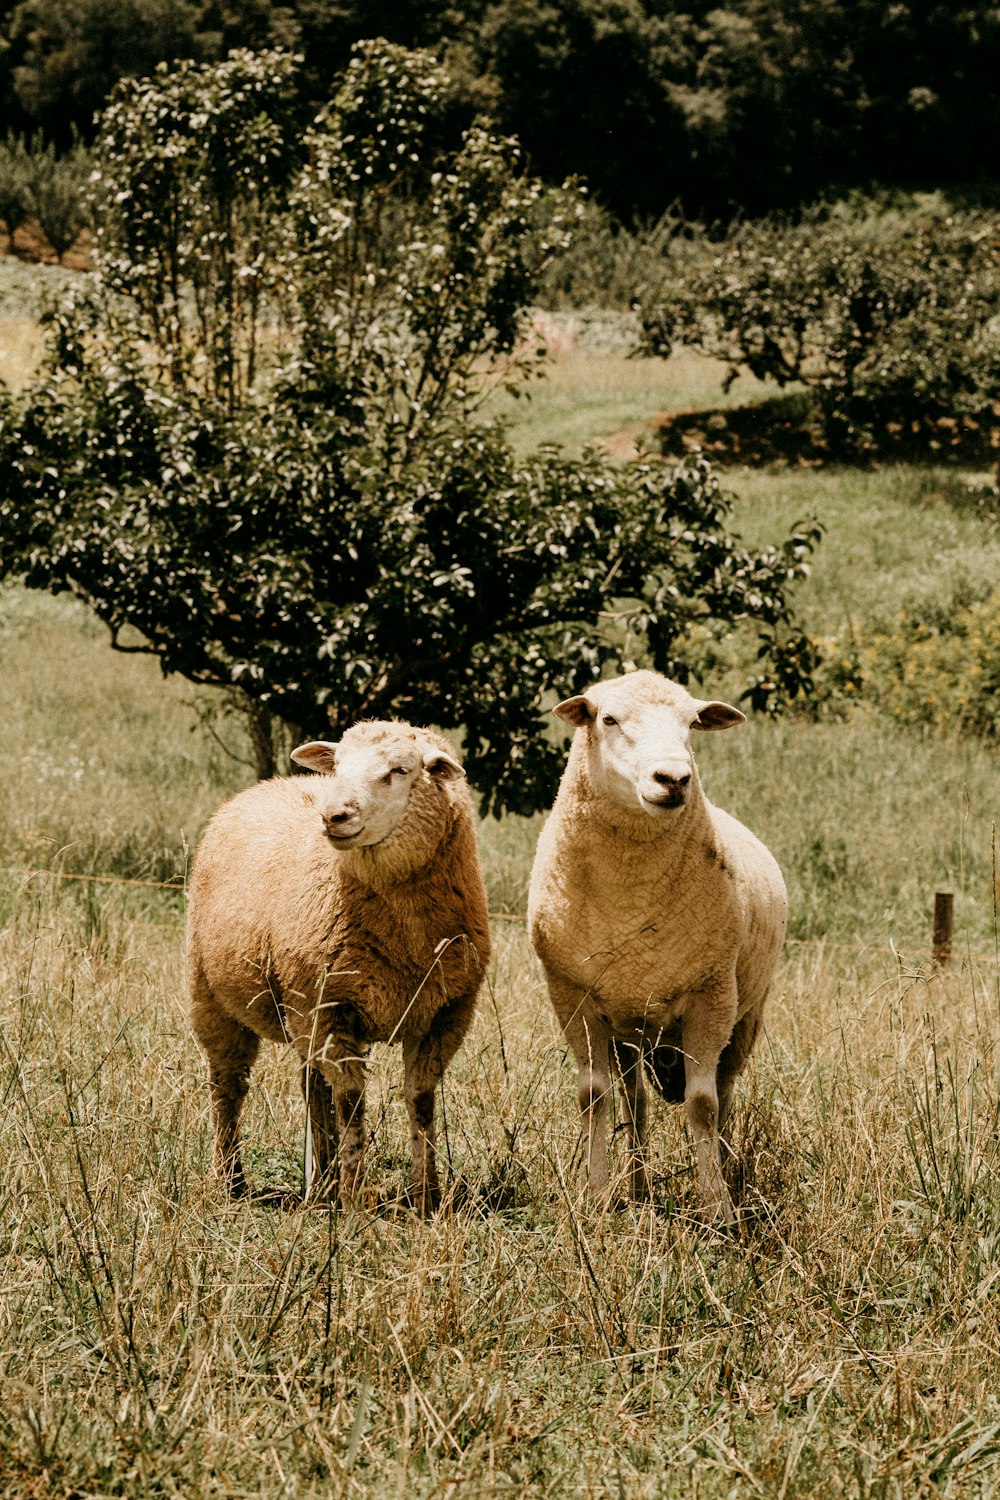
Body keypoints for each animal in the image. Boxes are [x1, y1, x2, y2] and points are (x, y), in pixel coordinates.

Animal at [187, 717, 491, 1218]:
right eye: (340, 765)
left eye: (400, 770)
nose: (334, 816)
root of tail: (270, 783)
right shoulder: (333, 1010)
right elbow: (351, 1104)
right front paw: (354, 1200)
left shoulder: (444, 1015)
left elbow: (421, 1101)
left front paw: (427, 1196)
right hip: (215, 995)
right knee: (227, 1087)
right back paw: (234, 1182)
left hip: (300, 1005)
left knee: (311, 1085)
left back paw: (320, 1184)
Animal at [527, 675, 785, 1224]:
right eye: (608, 719)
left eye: (691, 724)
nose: (674, 779)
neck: (630, 899)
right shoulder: (572, 996)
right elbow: (592, 1097)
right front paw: (596, 1196)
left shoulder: (712, 997)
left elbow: (703, 1106)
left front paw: (717, 1208)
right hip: (630, 1026)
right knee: (637, 1101)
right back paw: (639, 1186)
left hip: (745, 1015)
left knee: (724, 1095)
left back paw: (725, 1174)